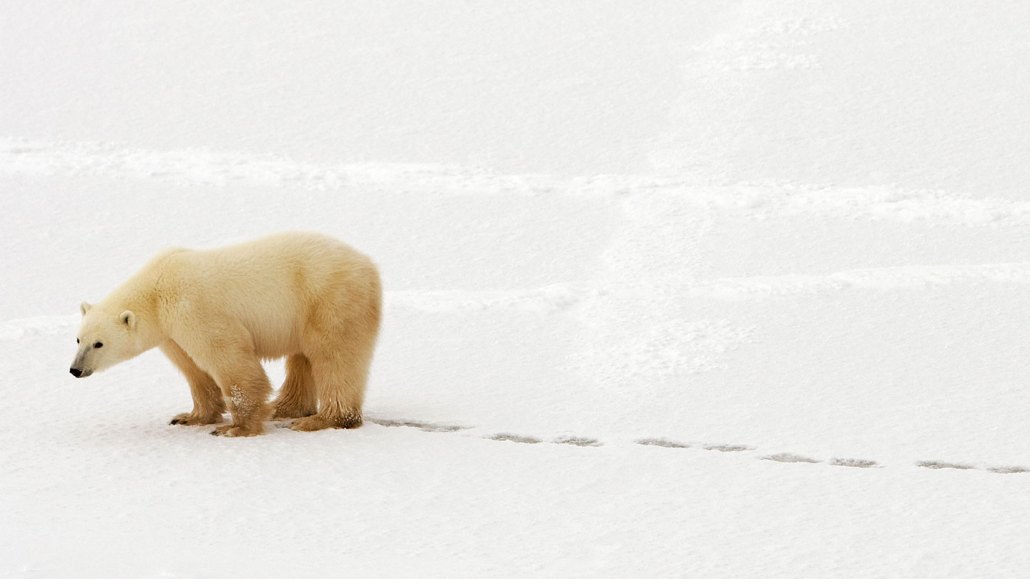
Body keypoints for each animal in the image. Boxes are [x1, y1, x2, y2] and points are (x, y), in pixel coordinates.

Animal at [69, 231, 382, 437]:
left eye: (99, 344)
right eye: (78, 339)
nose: (75, 370)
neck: (156, 289)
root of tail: (369, 265)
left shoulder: (193, 308)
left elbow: (228, 358)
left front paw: (235, 428)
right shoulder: (171, 332)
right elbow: (193, 368)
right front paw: (189, 417)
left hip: (328, 298)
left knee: (334, 356)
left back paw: (321, 420)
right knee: (303, 359)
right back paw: (283, 408)